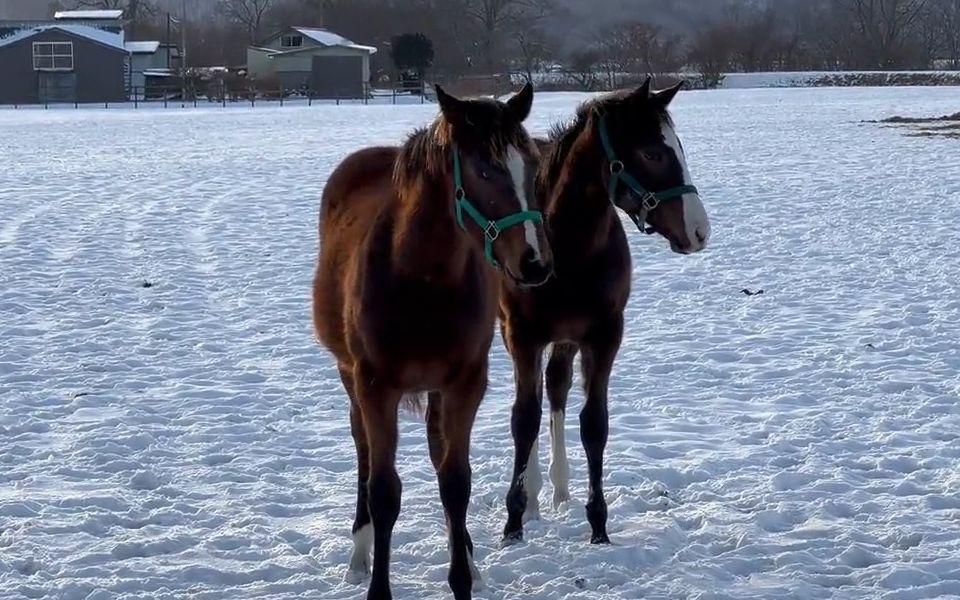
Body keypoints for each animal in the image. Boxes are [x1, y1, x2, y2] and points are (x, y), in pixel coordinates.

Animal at [314, 83, 556, 600]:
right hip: (349, 376)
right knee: (363, 451)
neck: (422, 280)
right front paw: (379, 589)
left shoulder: (464, 385)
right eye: (484, 169)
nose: (535, 262)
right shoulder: (375, 387)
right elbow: (384, 491)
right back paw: (359, 553)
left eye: (532, 164)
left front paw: (463, 577)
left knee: (435, 451)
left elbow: (455, 482)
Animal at [496, 78, 712, 544]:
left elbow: (594, 424)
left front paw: (598, 525)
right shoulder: (523, 336)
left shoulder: (604, 335)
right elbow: (524, 420)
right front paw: (513, 522)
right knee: (536, 400)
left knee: (556, 387)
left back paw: (559, 491)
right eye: (652, 153)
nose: (699, 231)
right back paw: (536, 498)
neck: (569, 250)